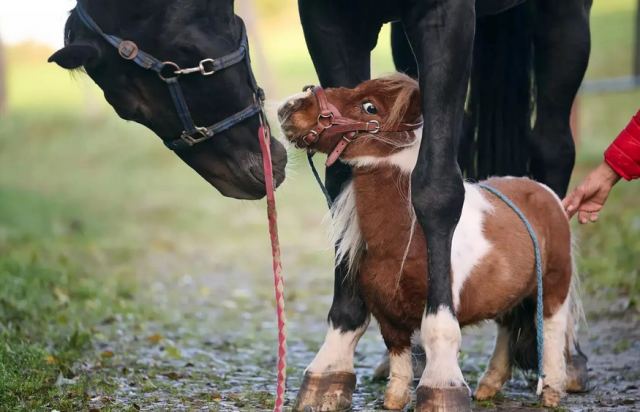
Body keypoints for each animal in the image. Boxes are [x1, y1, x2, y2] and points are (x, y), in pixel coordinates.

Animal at [294, 0, 592, 410]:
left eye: (369, 107)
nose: (292, 108)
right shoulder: (327, 19)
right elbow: (340, 183)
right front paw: (332, 365)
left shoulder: (446, 18)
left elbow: (436, 186)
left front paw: (442, 373)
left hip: (564, 18)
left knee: (553, 147)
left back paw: (559, 360)